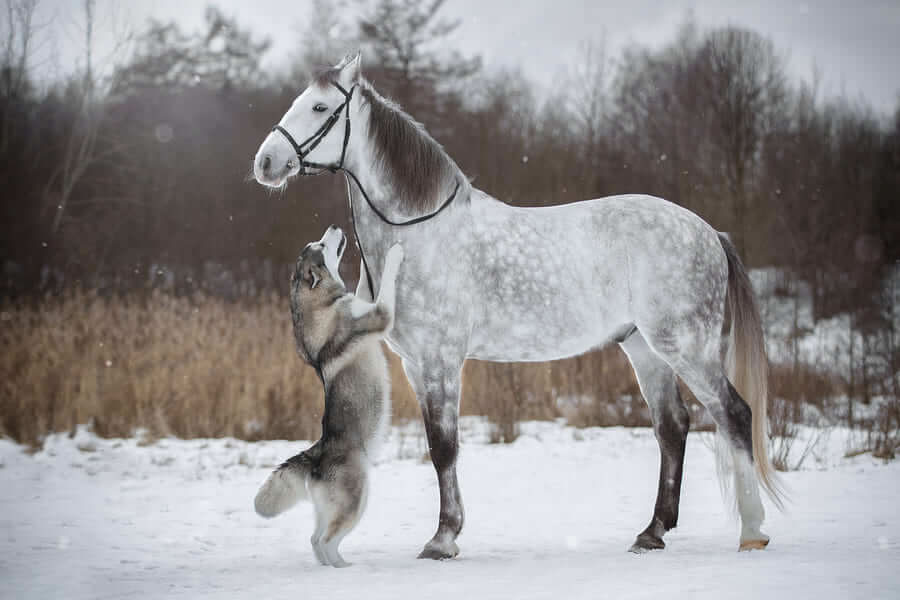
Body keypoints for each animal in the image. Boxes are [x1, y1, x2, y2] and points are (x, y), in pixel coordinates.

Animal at [255, 225, 406, 568]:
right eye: (321, 245)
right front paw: (394, 253)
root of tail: (316, 455)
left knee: (315, 539)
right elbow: (386, 286)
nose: (336, 227)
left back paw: (334, 565)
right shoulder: (379, 314)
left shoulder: (364, 303)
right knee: (325, 540)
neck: (322, 303)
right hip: (356, 499)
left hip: (332, 506)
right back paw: (342, 569)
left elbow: (364, 286)